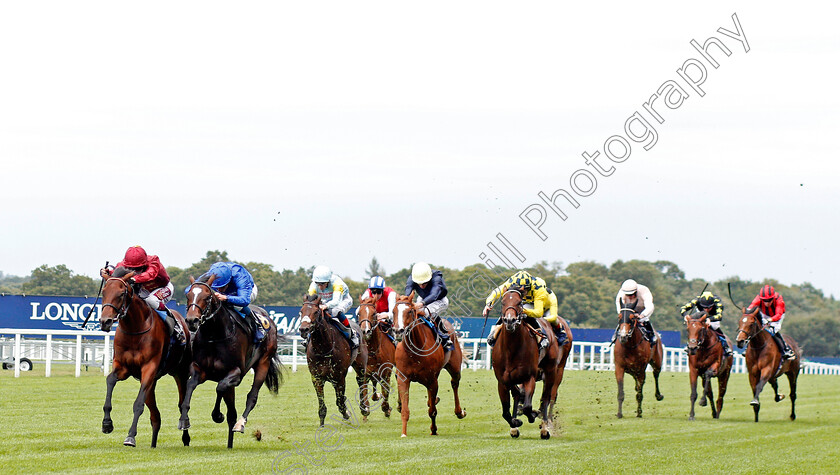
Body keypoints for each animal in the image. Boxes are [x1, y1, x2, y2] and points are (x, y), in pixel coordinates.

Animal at [101, 270, 193, 448]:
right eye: (104, 292)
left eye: (121, 294)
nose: (105, 321)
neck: (134, 329)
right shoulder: (122, 367)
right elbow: (109, 380)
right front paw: (107, 423)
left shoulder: (149, 368)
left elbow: (138, 404)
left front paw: (130, 436)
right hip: (153, 382)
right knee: (155, 415)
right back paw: (153, 444)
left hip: (180, 372)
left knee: (181, 404)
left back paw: (185, 433)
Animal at [179, 278, 284, 448]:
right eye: (188, 295)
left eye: (207, 297)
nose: (191, 320)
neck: (215, 335)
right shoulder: (199, 369)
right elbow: (190, 386)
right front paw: (183, 420)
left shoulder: (235, 373)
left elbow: (220, 387)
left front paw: (217, 415)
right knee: (232, 413)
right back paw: (229, 444)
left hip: (264, 362)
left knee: (251, 397)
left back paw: (240, 424)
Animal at [300, 296, 370, 426]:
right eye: (301, 311)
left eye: (316, 312)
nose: (303, 329)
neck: (323, 348)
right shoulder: (316, 378)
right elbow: (323, 405)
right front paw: (322, 424)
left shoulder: (340, 377)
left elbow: (340, 401)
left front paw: (347, 413)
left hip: (360, 364)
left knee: (361, 380)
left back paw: (365, 408)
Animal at [392, 292, 466, 440]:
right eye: (393, 311)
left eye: (410, 311)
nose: (398, 331)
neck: (414, 350)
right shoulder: (403, 378)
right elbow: (405, 409)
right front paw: (403, 433)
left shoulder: (432, 380)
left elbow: (432, 411)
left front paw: (434, 429)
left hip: (454, 368)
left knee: (454, 383)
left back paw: (459, 411)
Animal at [492, 288, 572, 440]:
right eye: (503, 302)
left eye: (519, 303)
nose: (509, 321)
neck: (511, 349)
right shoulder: (503, 381)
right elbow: (507, 409)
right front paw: (515, 424)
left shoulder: (529, 377)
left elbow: (529, 406)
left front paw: (533, 415)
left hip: (555, 370)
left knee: (548, 397)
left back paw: (545, 427)